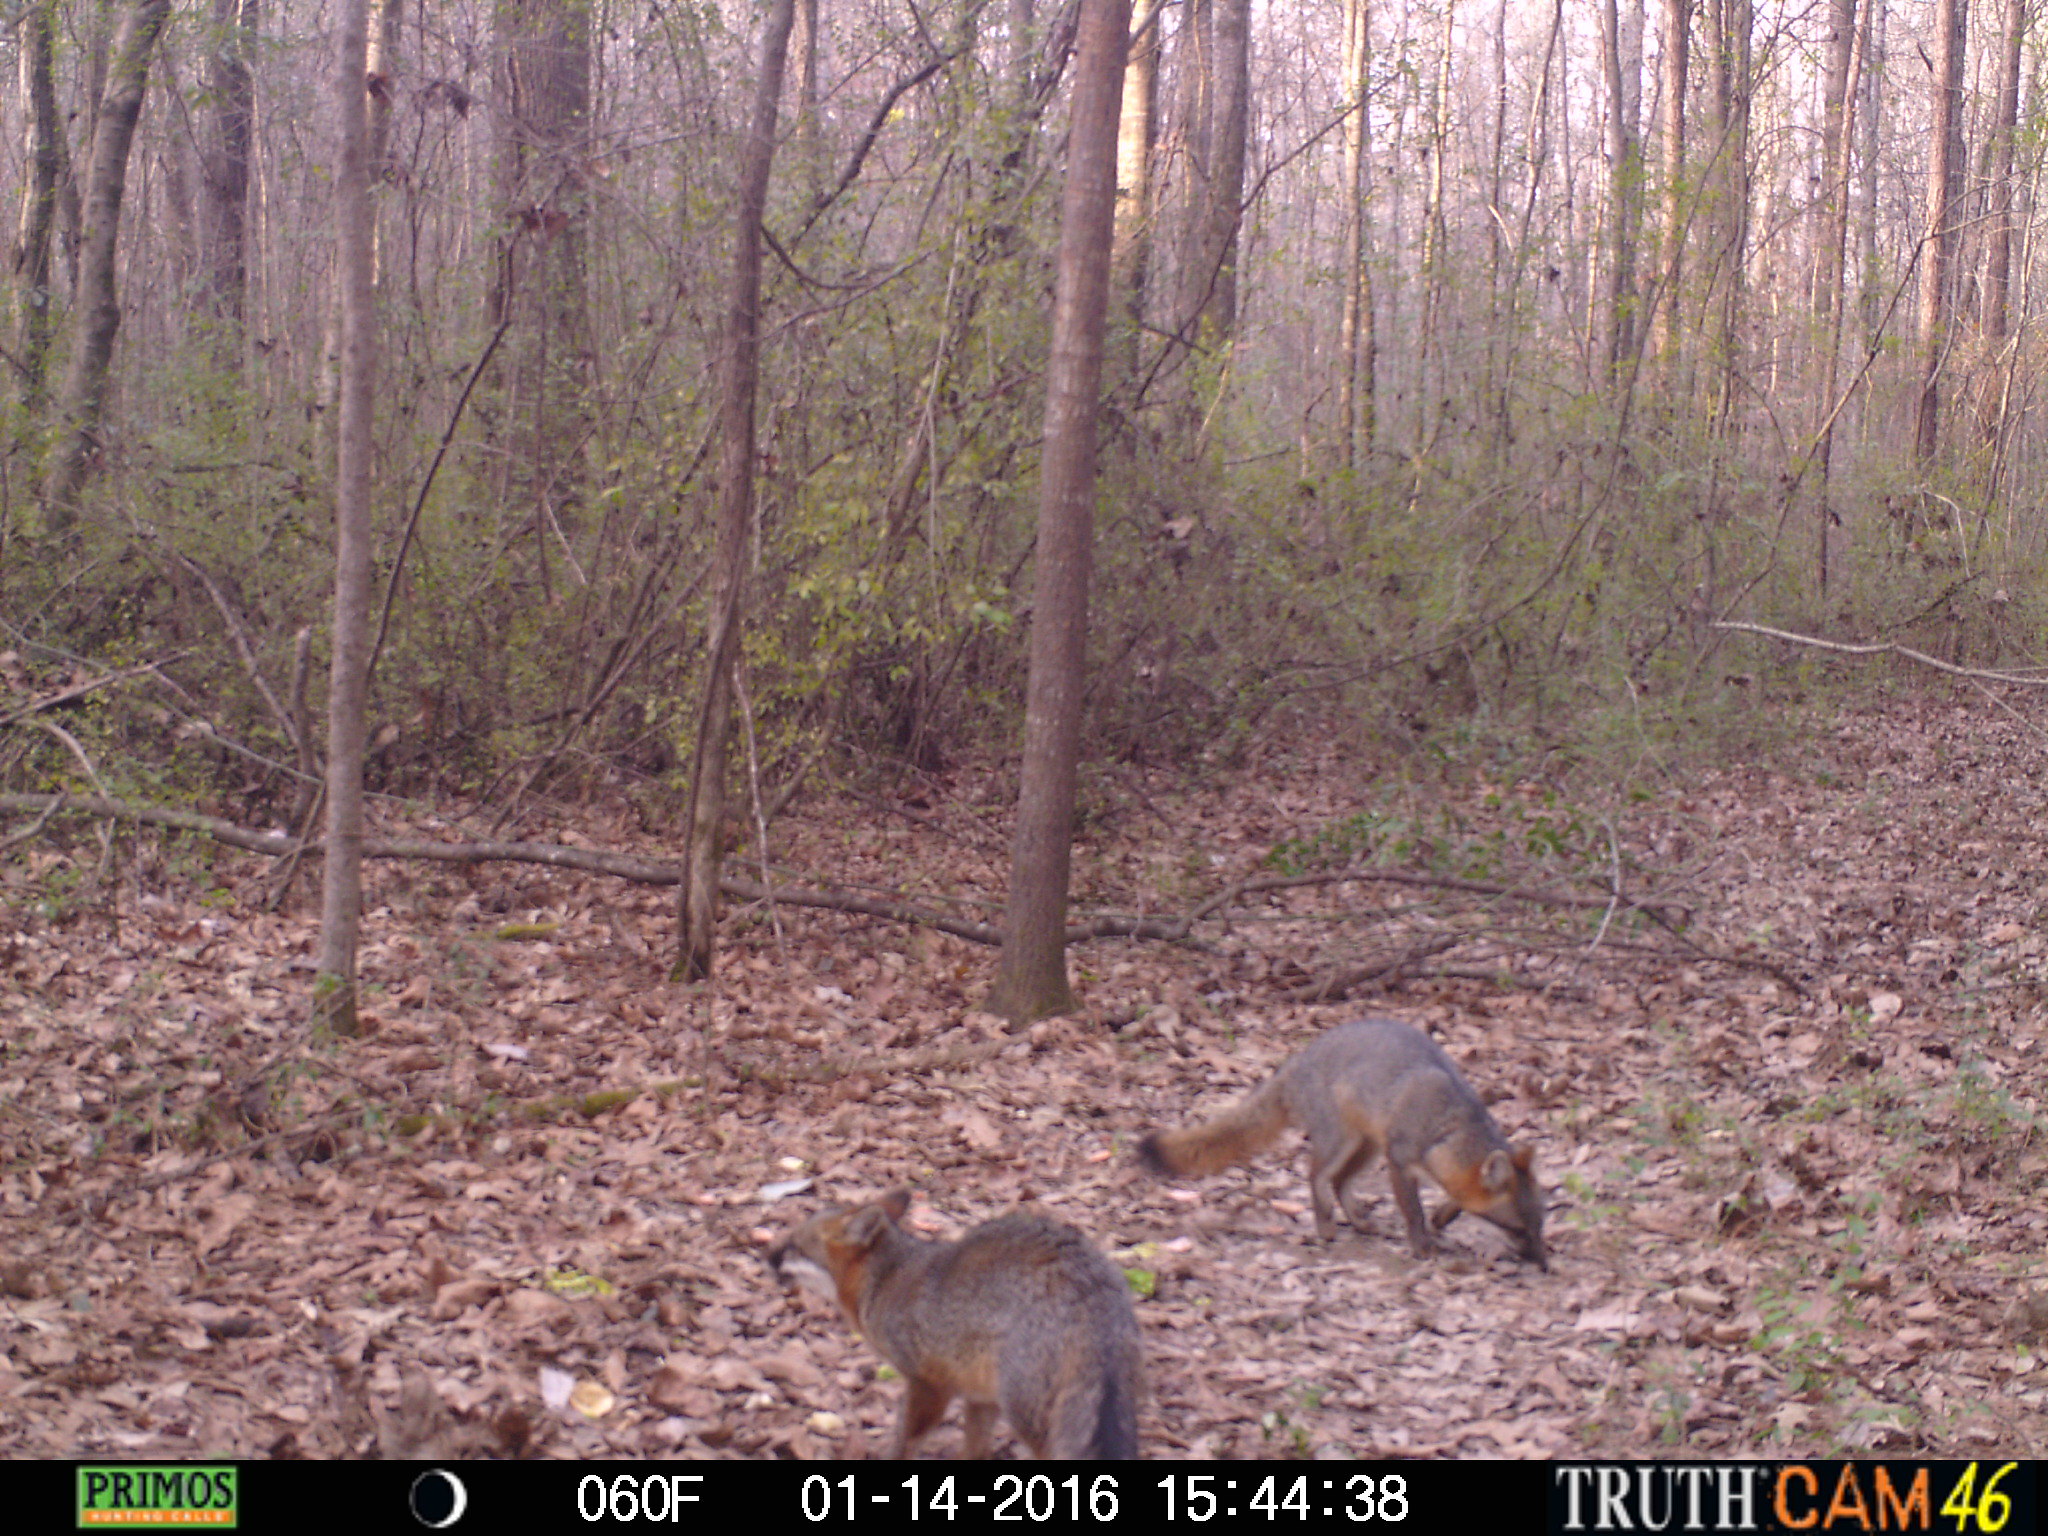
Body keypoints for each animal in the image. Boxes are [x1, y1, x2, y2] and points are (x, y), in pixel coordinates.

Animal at [769, 1189, 1142, 1459]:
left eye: (793, 1247)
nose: (765, 1255)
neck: (886, 1280)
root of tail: (1088, 1283)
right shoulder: (980, 1397)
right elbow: (973, 1451)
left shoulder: (929, 1384)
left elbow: (905, 1440)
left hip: (1027, 1415)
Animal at [1139, 1017, 1547, 1269]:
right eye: (1517, 1230)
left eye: (1539, 1226)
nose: (1543, 1264)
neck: (1448, 1128)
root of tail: (1298, 1060)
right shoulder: (1399, 1160)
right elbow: (1412, 1211)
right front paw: (1421, 1245)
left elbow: (1454, 1198)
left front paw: (1443, 1215)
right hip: (1344, 1141)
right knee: (1316, 1175)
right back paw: (1324, 1224)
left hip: (1366, 1147)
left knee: (1339, 1181)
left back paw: (1358, 1221)